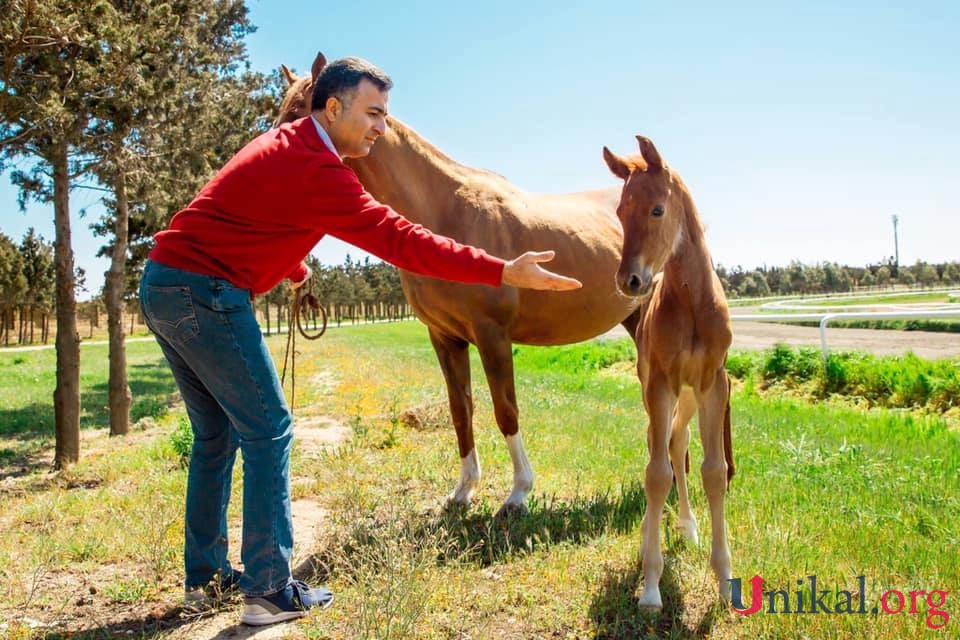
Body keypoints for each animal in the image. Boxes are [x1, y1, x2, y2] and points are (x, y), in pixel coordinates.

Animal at [278, 56, 636, 516]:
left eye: (298, 113)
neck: (445, 210)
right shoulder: (445, 337)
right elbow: (460, 410)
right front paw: (463, 491)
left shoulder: (492, 334)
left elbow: (505, 410)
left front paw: (518, 493)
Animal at [604, 136, 740, 608]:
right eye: (620, 212)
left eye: (657, 210)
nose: (629, 280)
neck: (692, 304)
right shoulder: (660, 382)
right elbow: (655, 474)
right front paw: (650, 585)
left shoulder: (713, 382)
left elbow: (714, 471)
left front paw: (725, 581)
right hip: (658, 391)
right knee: (657, 445)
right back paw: (654, 532)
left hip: (689, 395)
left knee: (678, 443)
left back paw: (687, 525)